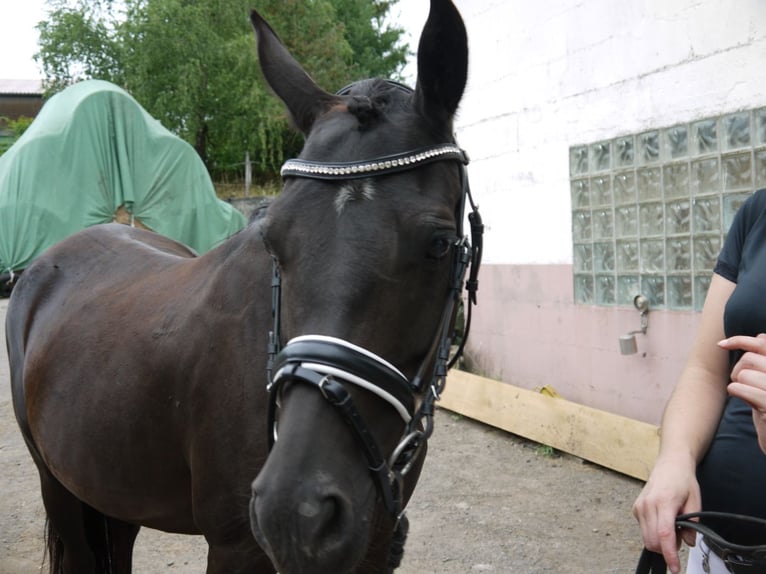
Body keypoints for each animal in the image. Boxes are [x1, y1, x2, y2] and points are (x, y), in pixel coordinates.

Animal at [6, 2, 480, 572]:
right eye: (273, 238)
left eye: (440, 243)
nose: (296, 511)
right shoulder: (235, 547)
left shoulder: (372, 549)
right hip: (58, 486)